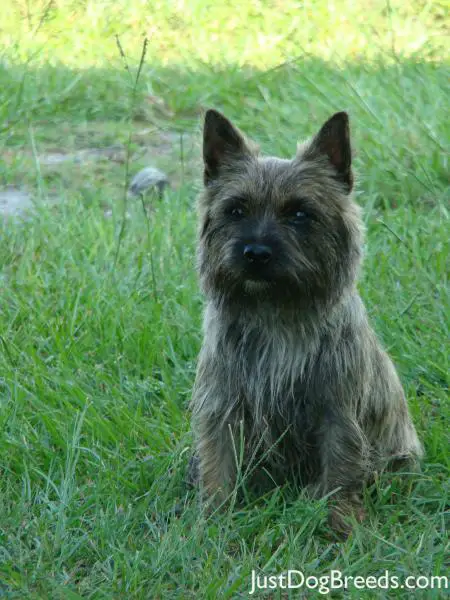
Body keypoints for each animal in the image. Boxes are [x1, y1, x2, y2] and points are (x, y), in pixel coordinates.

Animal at [189, 110, 422, 532]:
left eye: (300, 214)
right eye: (236, 210)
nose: (255, 252)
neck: (276, 314)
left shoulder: (337, 411)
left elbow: (341, 467)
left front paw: (338, 520)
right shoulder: (224, 406)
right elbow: (218, 465)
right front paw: (211, 521)